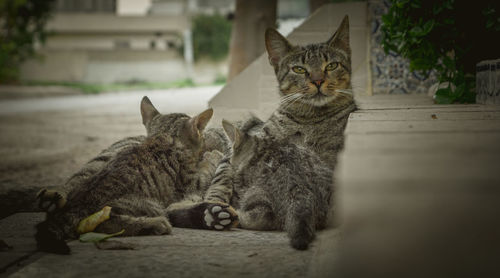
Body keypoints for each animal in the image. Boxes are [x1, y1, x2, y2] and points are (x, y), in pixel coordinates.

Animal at [36, 97, 237, 254]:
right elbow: (207, 169)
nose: (206, 143)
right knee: (101, 222)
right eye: (201, 136)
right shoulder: (190, 182)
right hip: (146, 204)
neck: (164, 138)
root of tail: (75, 206)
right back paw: (154, 224)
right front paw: (213, 155)